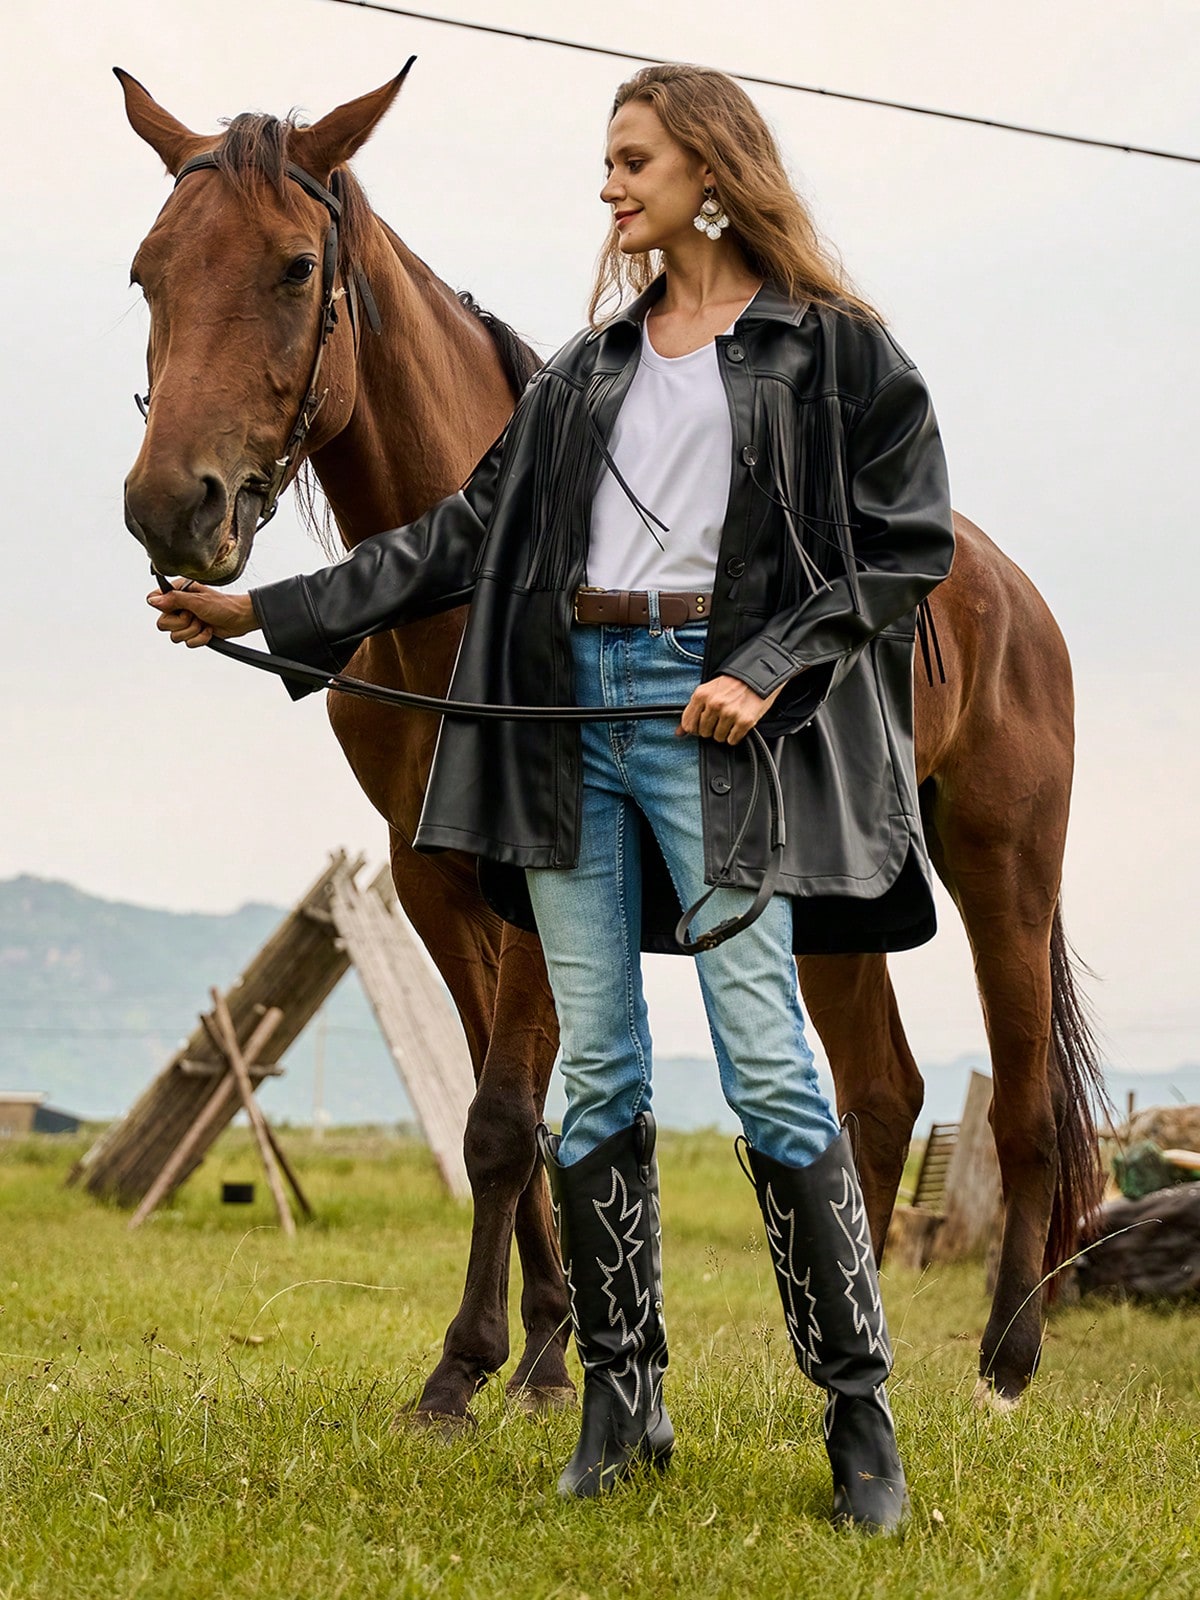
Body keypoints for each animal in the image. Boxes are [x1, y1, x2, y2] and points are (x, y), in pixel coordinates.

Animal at [117, 68, 1107, 1408]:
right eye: (147, 273)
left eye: (294, 265)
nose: (173, 506)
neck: (449, 608)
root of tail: (1011, 595)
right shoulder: (435, 876)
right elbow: (517, 1111)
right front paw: (538, 1347)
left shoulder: (540, 863)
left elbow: (501, 1114)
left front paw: (476, 1367)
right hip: (832, 895)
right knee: (881, 1089)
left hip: (1006, 866)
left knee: (1024, 1112)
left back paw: (1004, 1360)